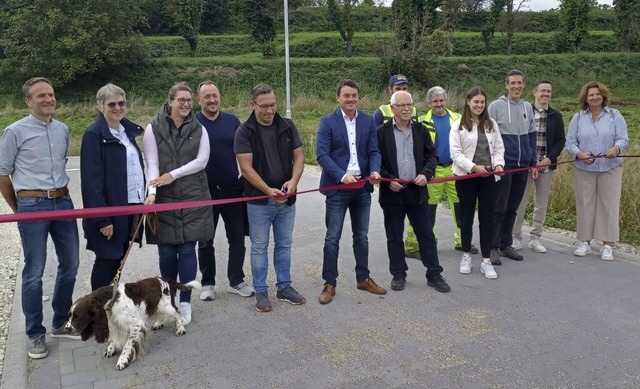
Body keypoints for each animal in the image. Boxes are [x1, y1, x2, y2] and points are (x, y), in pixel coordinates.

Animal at [67, 276, 200, 370]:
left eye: (77, 317)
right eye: (70, 315)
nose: (66, 329)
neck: (111, 300)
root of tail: (165, 279)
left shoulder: (136, 325)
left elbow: (127, 345)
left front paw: (122, 360)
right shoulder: (113, 323)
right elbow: (114, 338)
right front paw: (111, 348)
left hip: (166, 306)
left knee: (177, 313)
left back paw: (180, 328)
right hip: (156, 306)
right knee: (162, 315)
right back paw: (158, 323)